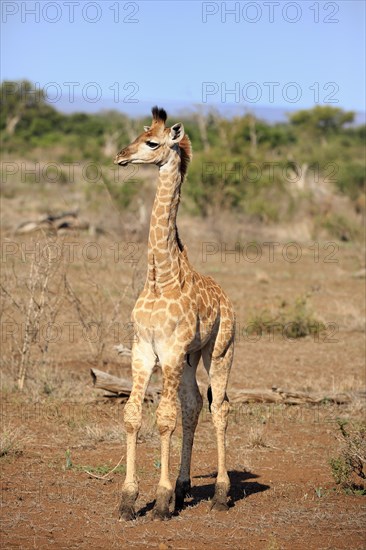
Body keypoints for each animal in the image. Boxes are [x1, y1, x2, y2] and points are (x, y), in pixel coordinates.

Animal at [113, 106, 236, 520]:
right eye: (138, 136)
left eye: (152, 143)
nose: (120, 156)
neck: (159, 278)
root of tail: (228, 299)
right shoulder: (143, 349)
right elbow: (133, 416)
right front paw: (128, 499)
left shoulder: (167, 351)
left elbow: (164, 418)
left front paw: (162, 500)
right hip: (189, 358)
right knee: (195, 404)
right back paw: (185, 487)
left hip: (219, 350)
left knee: (220, 407)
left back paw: (219, 493)